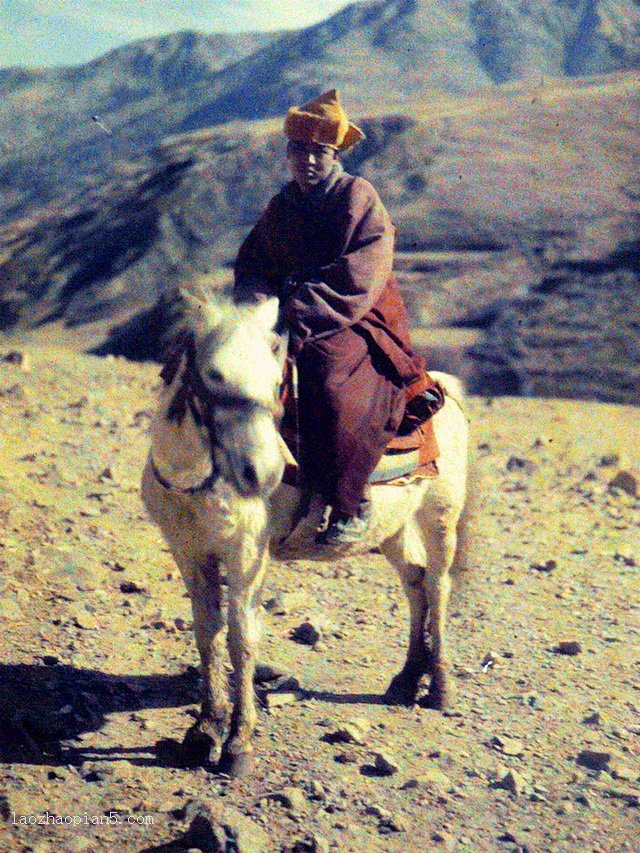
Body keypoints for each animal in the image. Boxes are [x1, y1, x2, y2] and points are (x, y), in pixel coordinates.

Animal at [142, 292, 468, 780]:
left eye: (276, 376)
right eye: (214, 373)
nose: (263, 473)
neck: (196, 477)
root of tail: (442, 388)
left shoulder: (246, 556)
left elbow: (242, 638)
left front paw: (237, 743)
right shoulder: (190, 552)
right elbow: (207, 633)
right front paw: (202, 733)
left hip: (440, 515)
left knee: (438, 585)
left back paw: (440, 689)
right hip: (392, 526)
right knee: (415, 582)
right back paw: (407, 680)